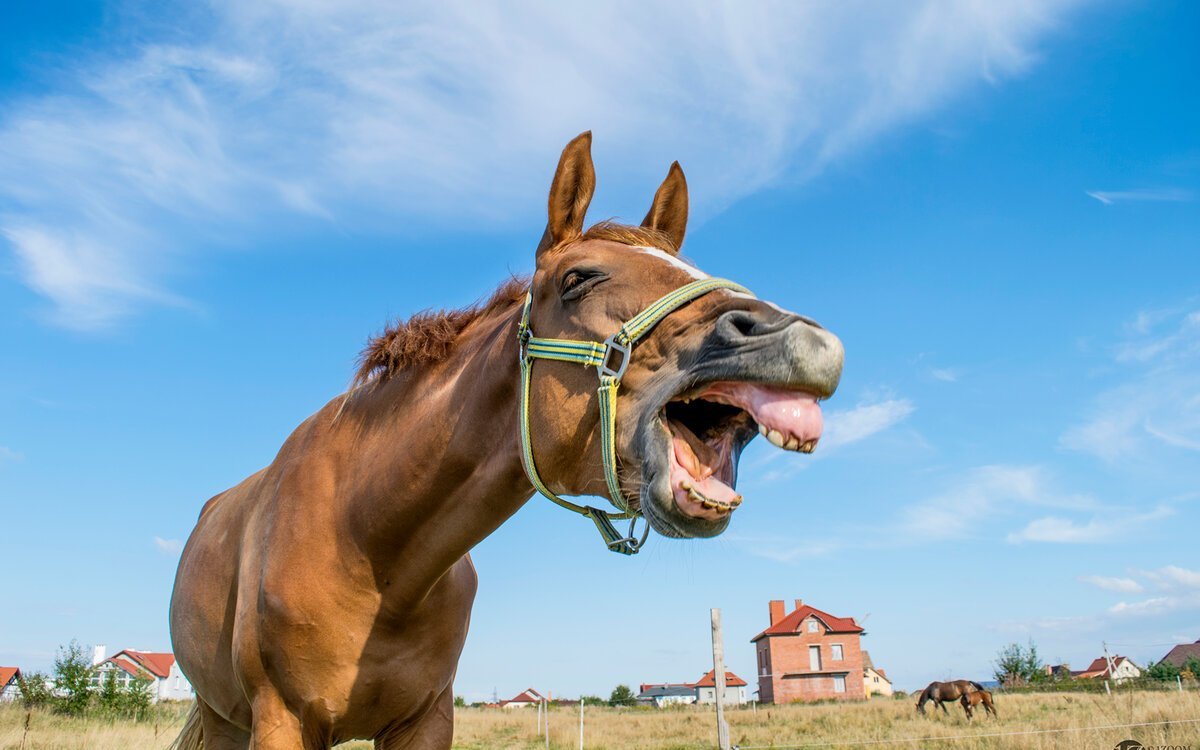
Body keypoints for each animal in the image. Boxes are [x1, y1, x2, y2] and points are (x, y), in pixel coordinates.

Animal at [166, 134, 844, 748]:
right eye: (578, 278)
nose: (806, 341)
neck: (370, 549)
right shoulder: (280, 719)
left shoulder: (428, 720)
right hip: (226, 720)